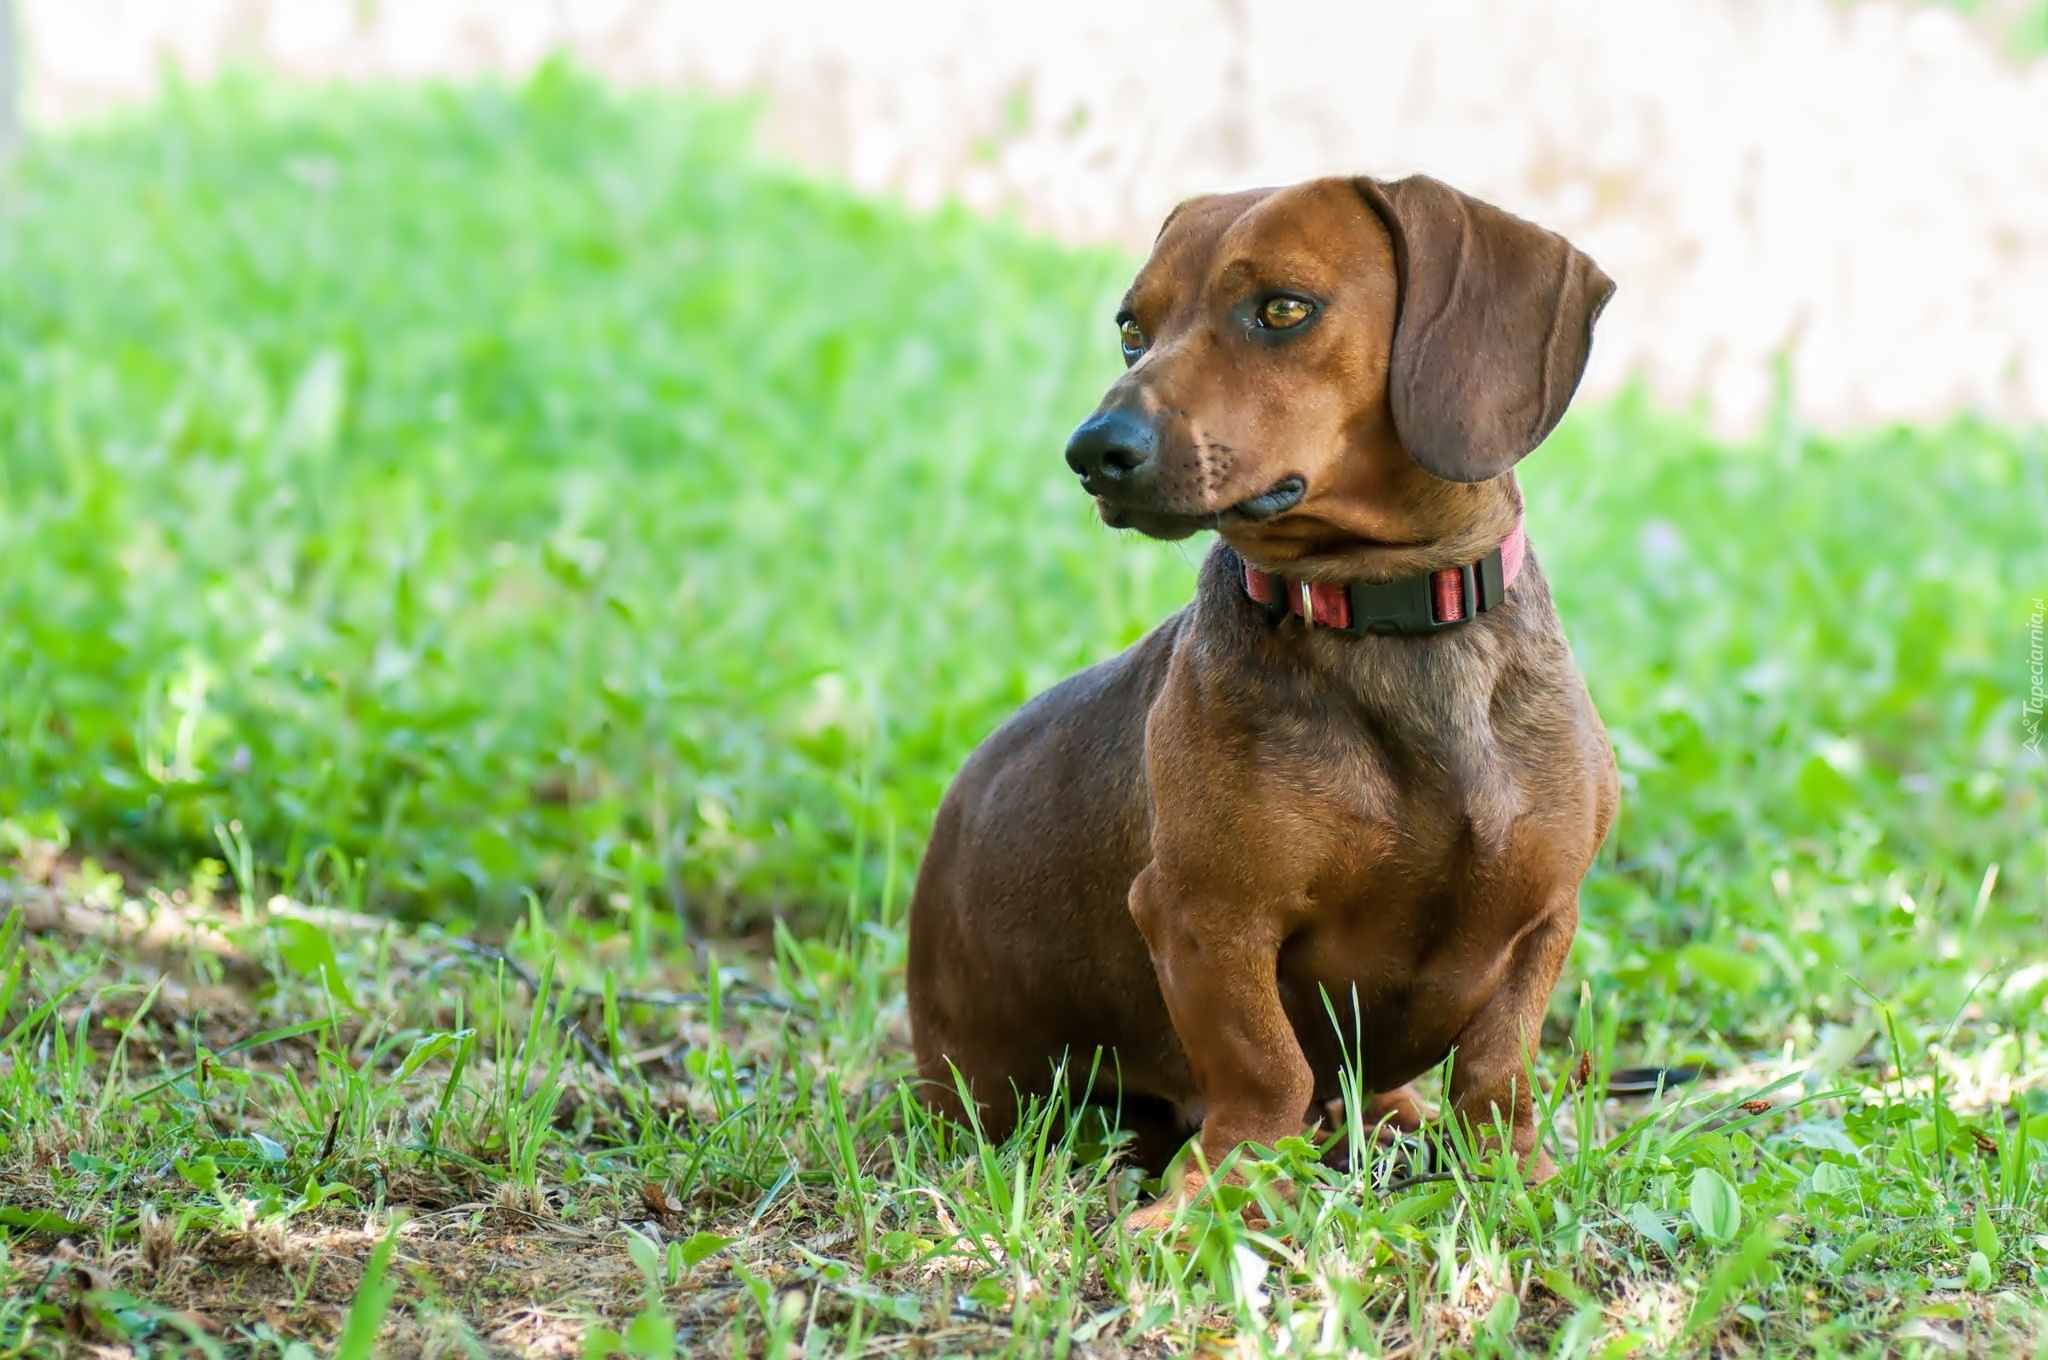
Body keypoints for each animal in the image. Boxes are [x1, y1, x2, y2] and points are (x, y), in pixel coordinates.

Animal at [909, 173, 1613, 1220]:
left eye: (1283, 309)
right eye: (1132, 328)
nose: (1092, 451)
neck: (1389, 624)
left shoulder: (1544, 913)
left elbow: (1500, 1070)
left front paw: (1516, 1178)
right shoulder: (1207, 915)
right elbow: (1266, 1071)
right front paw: (1213, 1199)